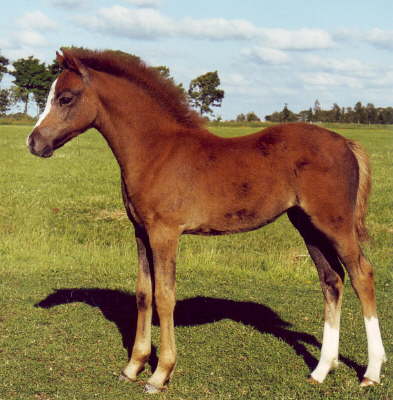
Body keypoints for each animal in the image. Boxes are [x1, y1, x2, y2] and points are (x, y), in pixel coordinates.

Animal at [26, 48, 384, 392]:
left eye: (65, 98)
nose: (34, 142)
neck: (157, 151)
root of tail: (346, 143)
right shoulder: (140, 232)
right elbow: (143, 293)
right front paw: (133, 366)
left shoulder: (165, 233)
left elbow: (164, 296)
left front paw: (160, 374)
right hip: (307, 225)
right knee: (331, 280)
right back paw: (321, 370)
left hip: (335, 224)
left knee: (361, 274)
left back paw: (371, 373)